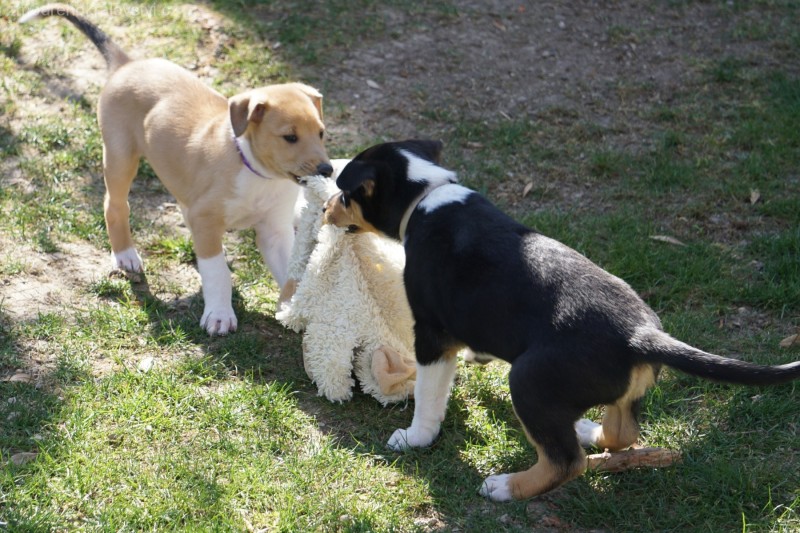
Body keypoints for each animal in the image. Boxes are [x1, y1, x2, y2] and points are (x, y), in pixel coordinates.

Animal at [21, 4, 332, 334]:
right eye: (290, 137)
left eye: (321, 133)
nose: (327, 170)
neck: (256, 172)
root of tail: (126, 64)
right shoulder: (207, 218)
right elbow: (217, 272)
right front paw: (220, 315)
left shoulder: (274, 230)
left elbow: (290, 274)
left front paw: (292, 309)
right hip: (120, 156)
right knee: (115, 206)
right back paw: (126, 255)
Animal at [322, 139, 796, 500]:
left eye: (345, 195)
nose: (326, 208)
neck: (425, 198)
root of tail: (641, 334)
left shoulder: (431, 335)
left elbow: (428, 395)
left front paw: (415, 438)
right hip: (619, 390)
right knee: (623, 432)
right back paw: (587, 430)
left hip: (529, 382)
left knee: (568, 462)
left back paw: (506, 486)